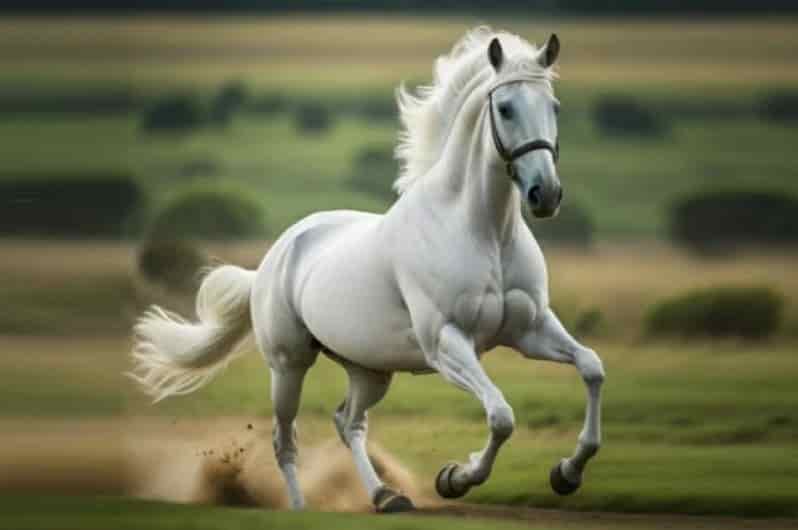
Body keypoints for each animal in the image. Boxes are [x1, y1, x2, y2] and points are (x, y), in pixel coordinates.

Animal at [130, 27, 605, 513]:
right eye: (506, 108)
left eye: (554, 106)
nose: (545, 194)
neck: (483, 230)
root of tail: (271, 260)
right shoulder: (447, 343)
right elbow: (502, 416)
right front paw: (455, 478)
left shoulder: (530, 331)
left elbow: (591, 367)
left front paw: (566, 474)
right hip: (289, 365)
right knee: (286, 440)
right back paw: (302, 508)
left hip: (369, 369)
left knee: (349, 422)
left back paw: (386, 495)